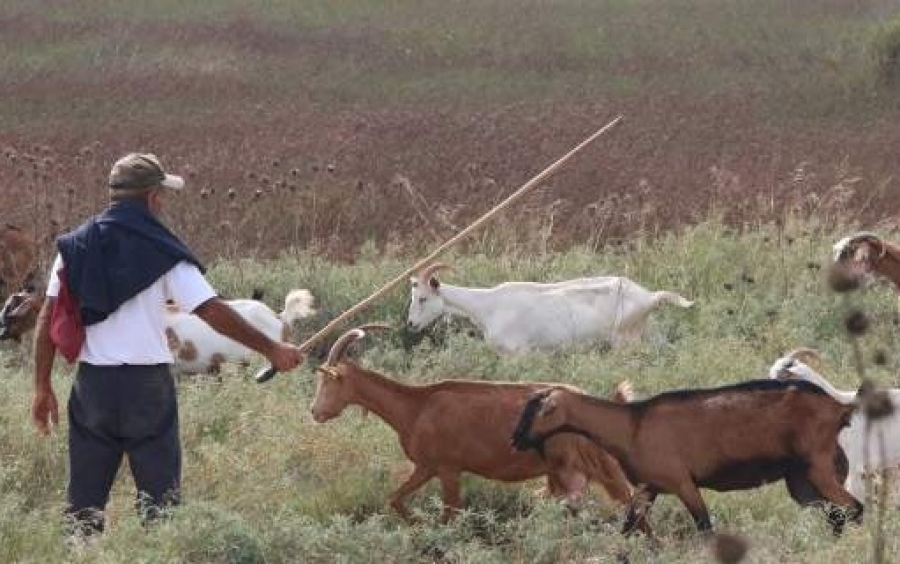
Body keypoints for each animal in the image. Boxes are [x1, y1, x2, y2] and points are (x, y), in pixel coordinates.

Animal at [408, 264, 696, 352]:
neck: (487, 306)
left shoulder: (518, 353)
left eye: (422, 298)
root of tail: (649, 296)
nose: (410, 324)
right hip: (646, 332)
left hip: (625, 340)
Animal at [510, 378, 860, 532]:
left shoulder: (682, 484)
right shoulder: (650, 487)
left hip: (817, 467)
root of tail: (838, 408)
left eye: (539, 411)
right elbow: (630, 526)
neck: (631, 425)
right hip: (801, 478)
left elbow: (704, 526)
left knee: (855, 509)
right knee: (837, 514)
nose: (515, 439)